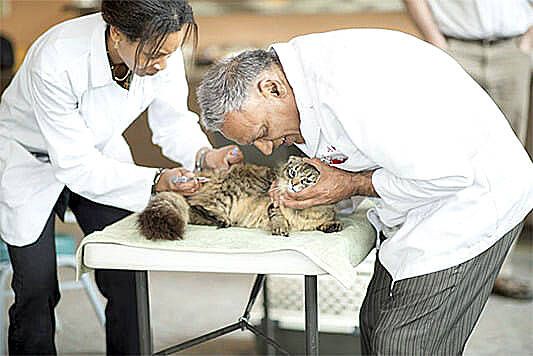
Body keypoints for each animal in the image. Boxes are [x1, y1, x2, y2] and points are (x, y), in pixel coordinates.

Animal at [137, 155, 342, 239]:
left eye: (307, 180)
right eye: (292, 173)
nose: (294, 183)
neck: (302, 212)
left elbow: (327, 220)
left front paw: (331, 225)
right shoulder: (272, 206)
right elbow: (278, 217)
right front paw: (281, 227)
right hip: (224, 196)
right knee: (195, 208)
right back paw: (220, 219)